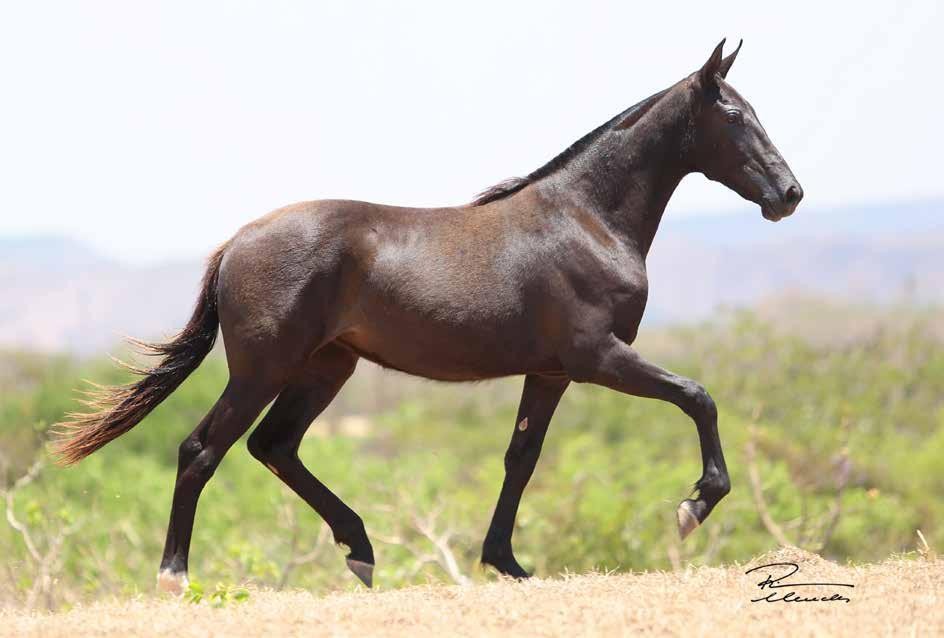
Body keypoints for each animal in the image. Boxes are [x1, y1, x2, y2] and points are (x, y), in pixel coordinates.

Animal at [53, 42, 804, 596]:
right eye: (735, 116)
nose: (790, 195)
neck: (587, 220)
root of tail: (236, 243)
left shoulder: (550, 372)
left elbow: (521, 459)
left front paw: (506, 563)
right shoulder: (599, 357)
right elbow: (698, 397)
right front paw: (694, 506)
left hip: (325, 368)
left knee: (274, 447)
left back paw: (359, 549)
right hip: (263, 370)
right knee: (202, 449)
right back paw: (175, 576)